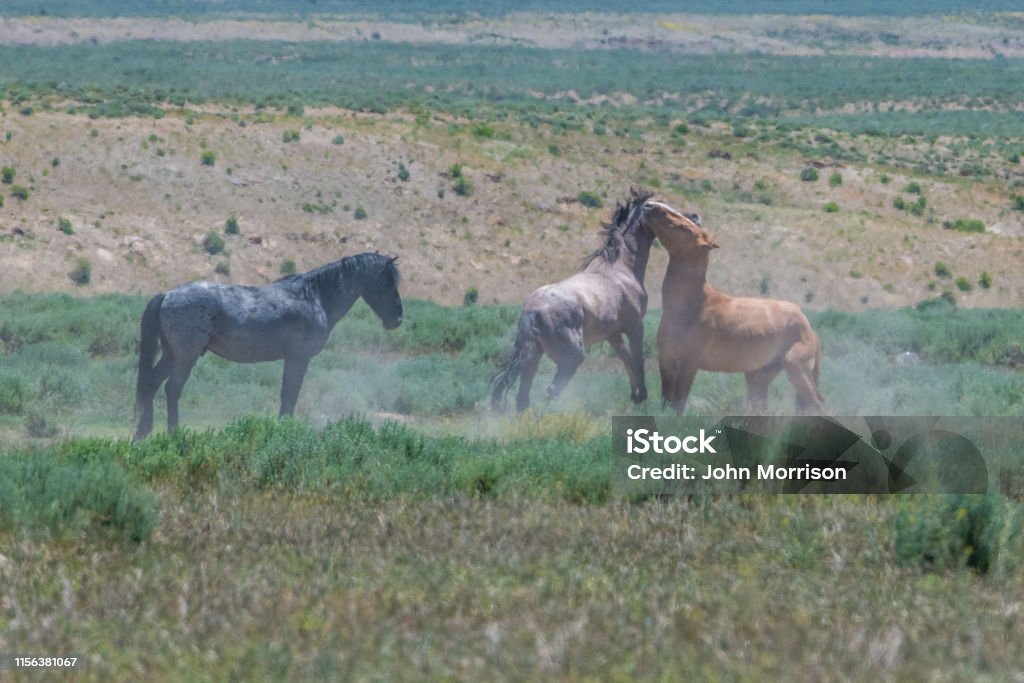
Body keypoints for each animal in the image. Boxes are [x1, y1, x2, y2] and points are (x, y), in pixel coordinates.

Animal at [135, 250, 403, 438]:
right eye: (388, 282)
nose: (397, 319)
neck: (314, 297)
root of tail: (167, 295)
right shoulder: (298, 358)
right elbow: (290, 395)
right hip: (185, 357)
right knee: (172, 389)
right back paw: (174, 433)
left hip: (171, 355)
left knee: (151, 384)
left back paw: (143, 432)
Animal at [493, 187, 655, 411]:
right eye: (653, 206)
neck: (620, 267)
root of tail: (532, 311)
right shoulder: (635, 326)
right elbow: (638, 360)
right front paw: (642, 397)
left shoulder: (613, 334)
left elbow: (627, 359)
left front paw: (635, 395)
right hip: (572, 357)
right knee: (552, 389)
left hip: (532, 357)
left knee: (522, 395)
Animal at [638, 200, 823, 413]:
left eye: (683, 227)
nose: (650, 205)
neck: (688, 307)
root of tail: (809, 327)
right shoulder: (666, 359)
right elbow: (665, 401)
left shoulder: (689, 363)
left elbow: (678, 404)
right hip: (759, 375)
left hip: (797, 367)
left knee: (816, 403)